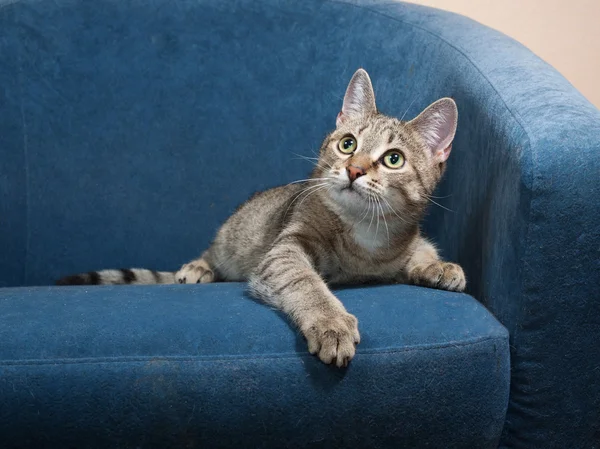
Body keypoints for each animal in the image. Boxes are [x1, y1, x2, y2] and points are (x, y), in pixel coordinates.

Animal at [56, 67, 466, 368]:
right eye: (347, 143)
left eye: (394, 159)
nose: (354, 169)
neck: (363, 236)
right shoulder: (284, 250)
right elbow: (305, 282)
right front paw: (330, 322)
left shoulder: (405, 239)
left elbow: (421, 250)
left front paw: (438, 266)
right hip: (231, 239)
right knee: (212, 253)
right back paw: (198, 267)